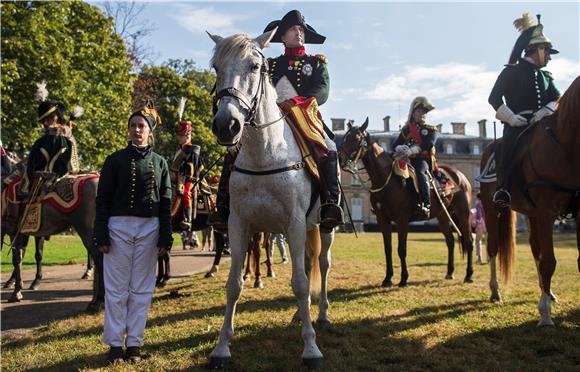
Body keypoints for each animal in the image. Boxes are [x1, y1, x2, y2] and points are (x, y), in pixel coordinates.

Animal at [208, 29, 336, 370]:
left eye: (255, 66)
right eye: (215, 67)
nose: (226, 125)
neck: (264, 154)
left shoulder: (293, 224)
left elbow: (302, 283)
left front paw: (311, 348)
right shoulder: (239, 224)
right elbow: (233, 285)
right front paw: (222, 347)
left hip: (325, 227)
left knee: (322, 265)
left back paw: (321, 314)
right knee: (309, 264)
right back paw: (300, 316)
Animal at [338, 119, 474, 284]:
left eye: (356, 138)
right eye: (345, 137)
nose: (339, 158)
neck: (386, 179)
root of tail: (459, 175)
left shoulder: (402, 219)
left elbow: (401, 249)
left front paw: (403, 279)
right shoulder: (383, 219)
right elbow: (388, 248)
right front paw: (388, 278)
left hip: (463, 213)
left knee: (469, 241)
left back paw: (469, 275)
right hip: (443, 215)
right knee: (450, 241)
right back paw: (450, 272)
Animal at [480, 75, 580, 326]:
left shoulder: (576, 211)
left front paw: (546, 301)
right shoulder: (546, 213)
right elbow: (549, 261)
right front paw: (545, 315)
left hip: (531, 213)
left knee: (535, 249)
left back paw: (548, 292)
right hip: (492, 209)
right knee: (493, 247)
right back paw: (496, 292)